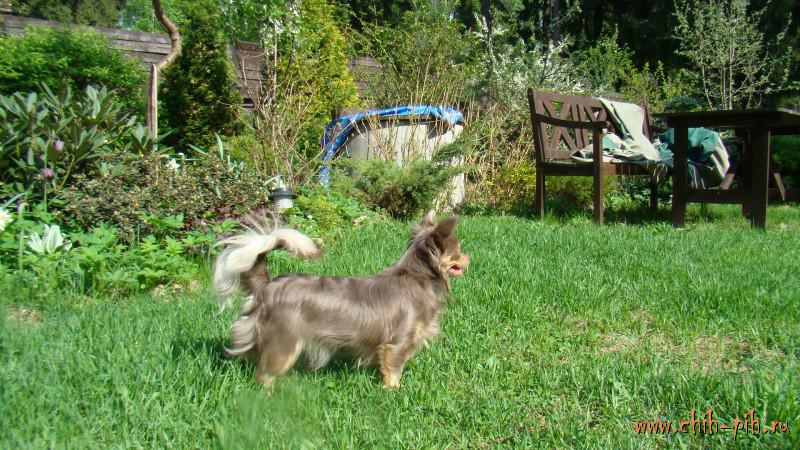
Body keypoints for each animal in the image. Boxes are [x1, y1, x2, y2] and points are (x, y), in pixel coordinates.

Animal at [212, 211, 470, 388]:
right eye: (458, 252)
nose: (469, 258)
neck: (417, 277)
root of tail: (267, 285)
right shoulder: (397, 344)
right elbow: (393, 370)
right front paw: (394, 391)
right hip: (284, 343)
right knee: (264, 374)